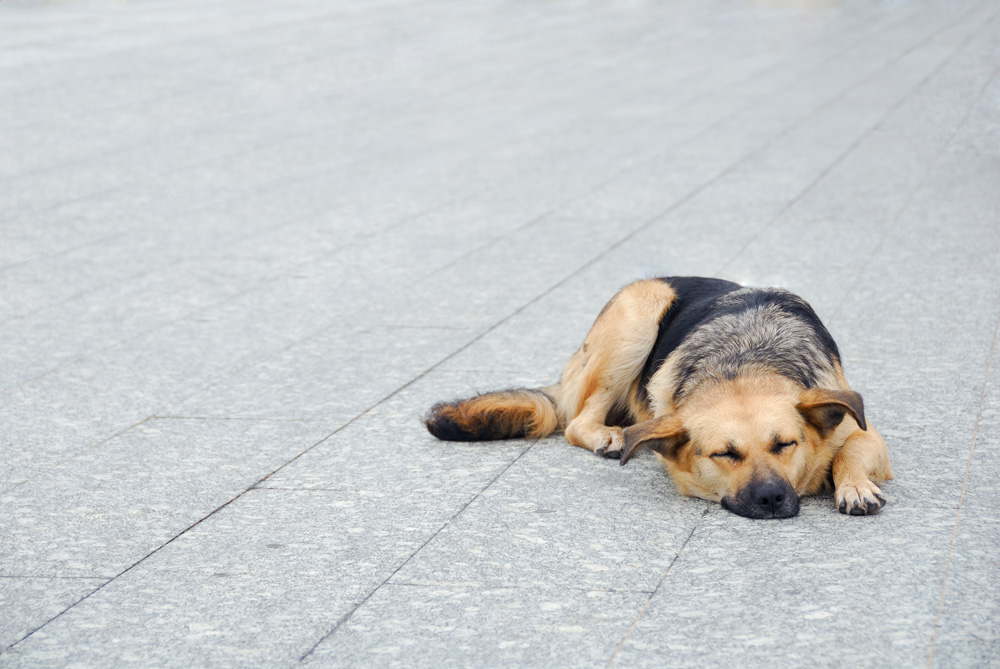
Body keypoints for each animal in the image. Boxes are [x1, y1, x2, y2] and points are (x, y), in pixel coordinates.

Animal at [426, 276, 896, 516]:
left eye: (785, 444)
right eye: (724, 454)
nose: (770, 499)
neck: (744, 363)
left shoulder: (865, 432)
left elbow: (849, 451)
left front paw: (854, 486)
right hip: (640, 315)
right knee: (577, 421)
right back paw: (608, 435)